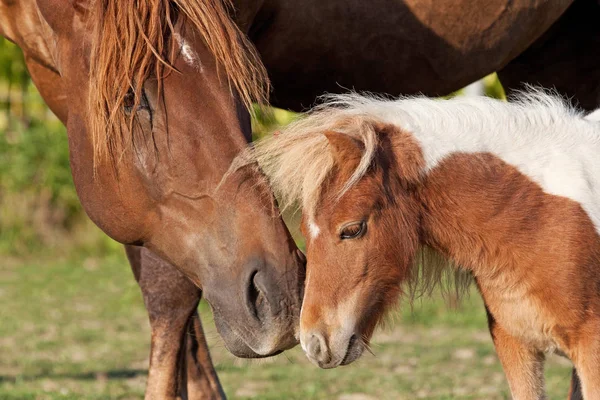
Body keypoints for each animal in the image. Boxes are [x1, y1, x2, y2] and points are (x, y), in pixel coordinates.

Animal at [244, 91, 600, 400]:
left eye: (352, 229)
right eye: (305, 228)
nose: (314, 343)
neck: (537, 215)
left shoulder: (591, 351)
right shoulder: (516, 345)